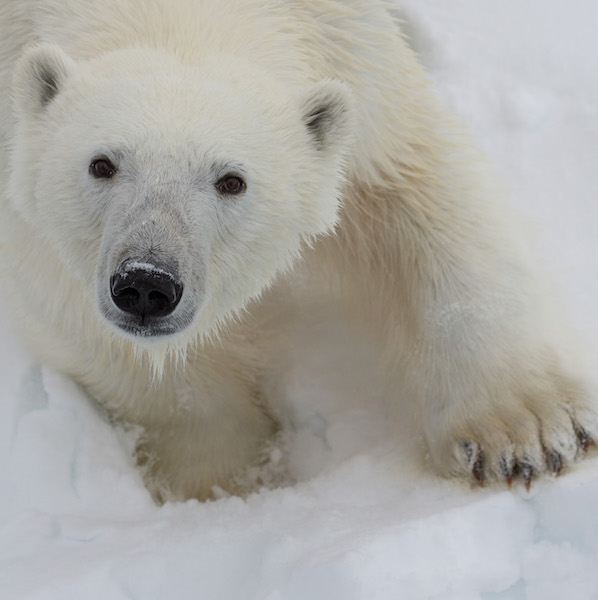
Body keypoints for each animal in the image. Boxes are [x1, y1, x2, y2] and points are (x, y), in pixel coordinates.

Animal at [0, 0, 596, 500]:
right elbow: (75, 312)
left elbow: (421, 191)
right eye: (101, 164)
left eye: (232, 180)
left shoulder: (353, 50)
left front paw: (527, 434)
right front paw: (220, 479)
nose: (147, 283)